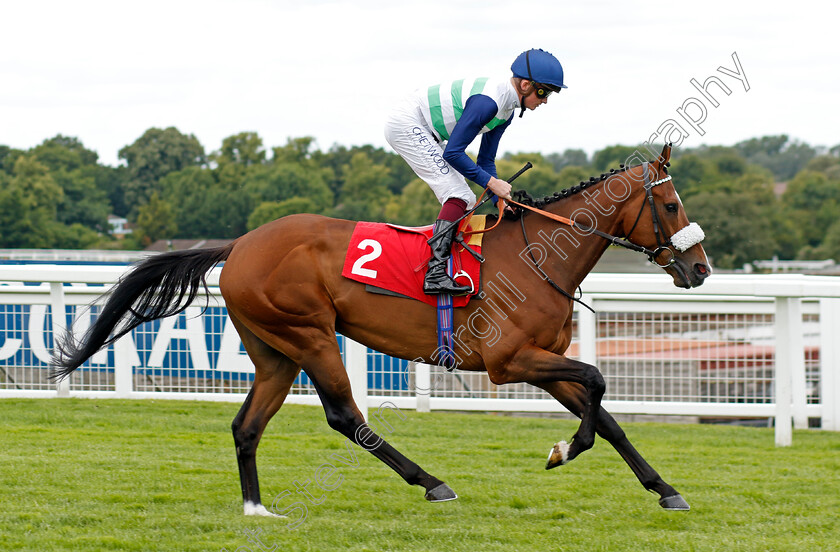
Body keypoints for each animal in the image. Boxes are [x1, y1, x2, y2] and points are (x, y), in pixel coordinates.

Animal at [52, 144, 708, 516]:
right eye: (671, 206)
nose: (699, 269)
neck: (536, 254)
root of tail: (239, 244)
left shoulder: (539, 361)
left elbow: (609, 415)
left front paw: (665, 489)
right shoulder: (508, 362)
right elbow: (597, 383)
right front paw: (563, 450)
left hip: (276, 352)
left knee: (246, 425)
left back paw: (256, 509)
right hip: (311, 335)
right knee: (346, 416)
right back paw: (432, 483)